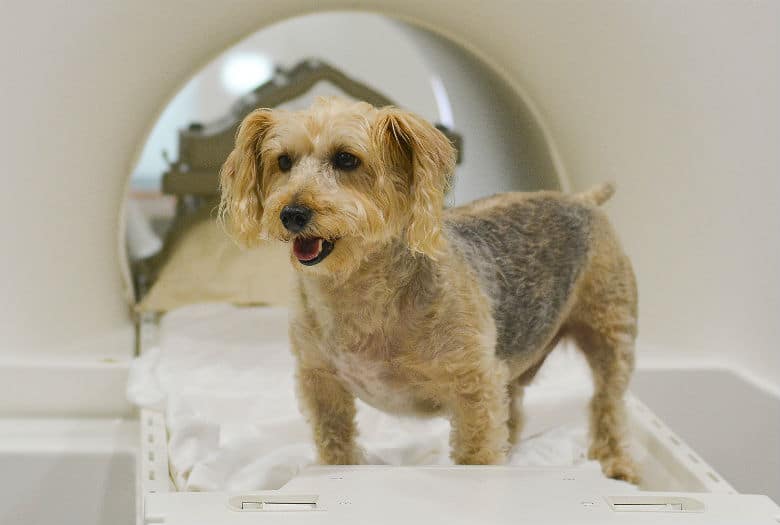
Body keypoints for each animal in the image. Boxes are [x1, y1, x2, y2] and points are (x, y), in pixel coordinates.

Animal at [219, 96, 640, 482]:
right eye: (283, 162)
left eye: (346, 159)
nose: (292, 214)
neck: (358, 297)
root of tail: (582, 199)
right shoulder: (319, 382)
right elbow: (335, 444)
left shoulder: (475, 386)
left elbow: (477, 454)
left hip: (610, 333)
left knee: (607, 403)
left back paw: (618, 466)